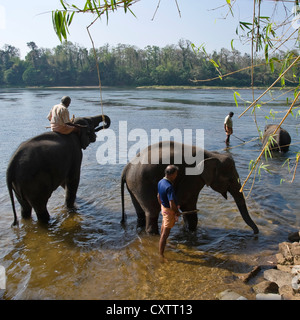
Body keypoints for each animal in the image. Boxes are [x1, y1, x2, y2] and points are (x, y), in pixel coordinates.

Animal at [120, 141, 258, 234]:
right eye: (230, 179)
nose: (256, 233)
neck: (210, 154)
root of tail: (126, 167)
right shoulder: (192, 178)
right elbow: (188, 205)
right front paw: (191, 230)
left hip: (134, 186)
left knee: (140, 212)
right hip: (142, 184)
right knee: (152, 211)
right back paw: (153, 234)